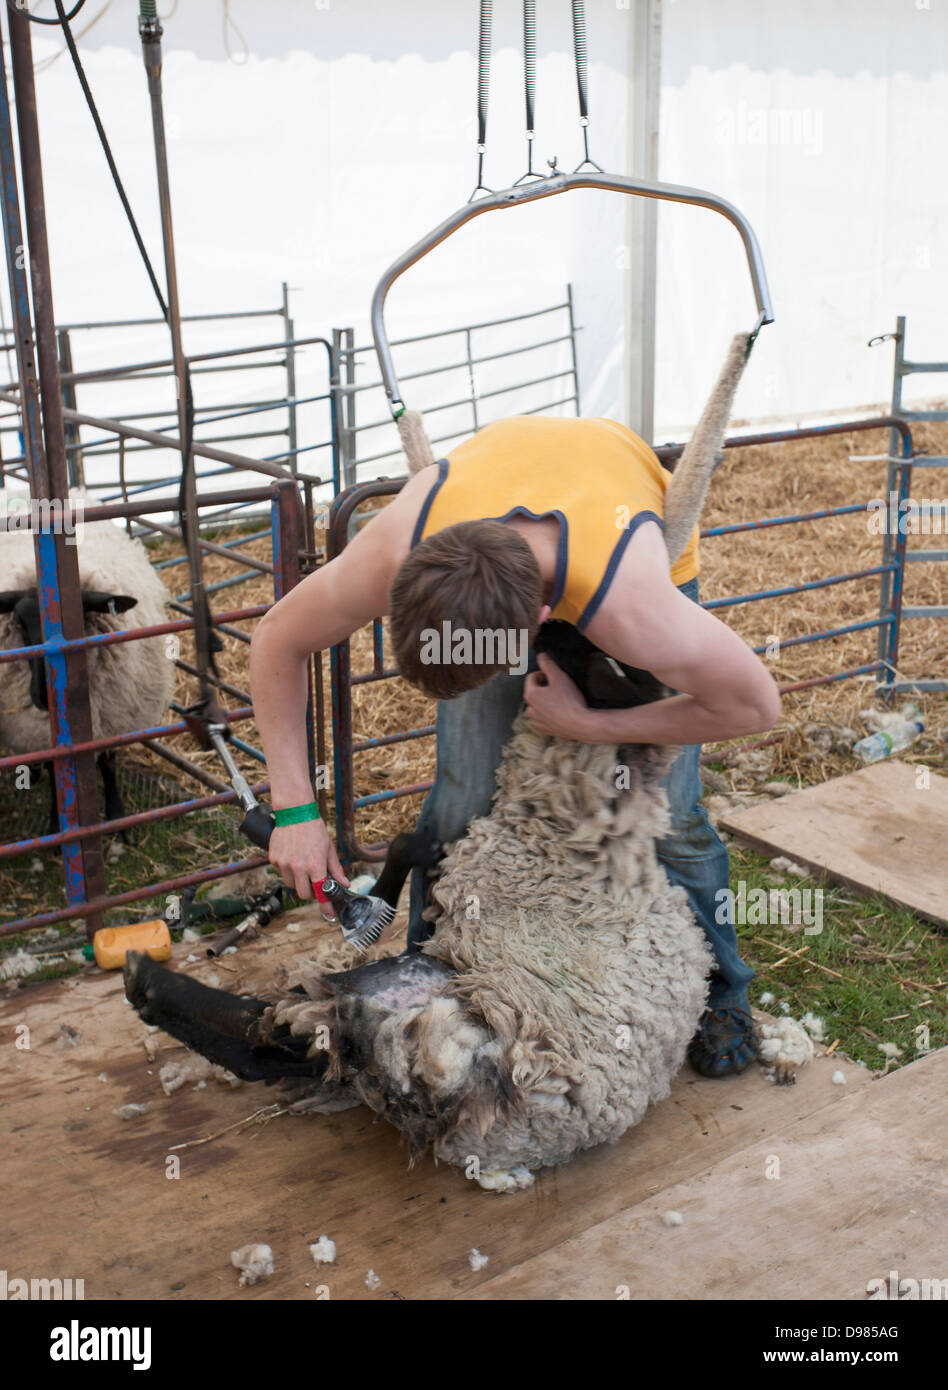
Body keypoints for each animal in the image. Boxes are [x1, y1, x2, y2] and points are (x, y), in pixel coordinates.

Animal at [0, 497, 174, 829]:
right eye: (20, 623)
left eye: (78, 620)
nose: (43, 696)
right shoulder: (47, 735)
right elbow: (58, 774)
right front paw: (58, 825)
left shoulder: (115, 717)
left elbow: (107, 762)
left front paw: (116, 814)